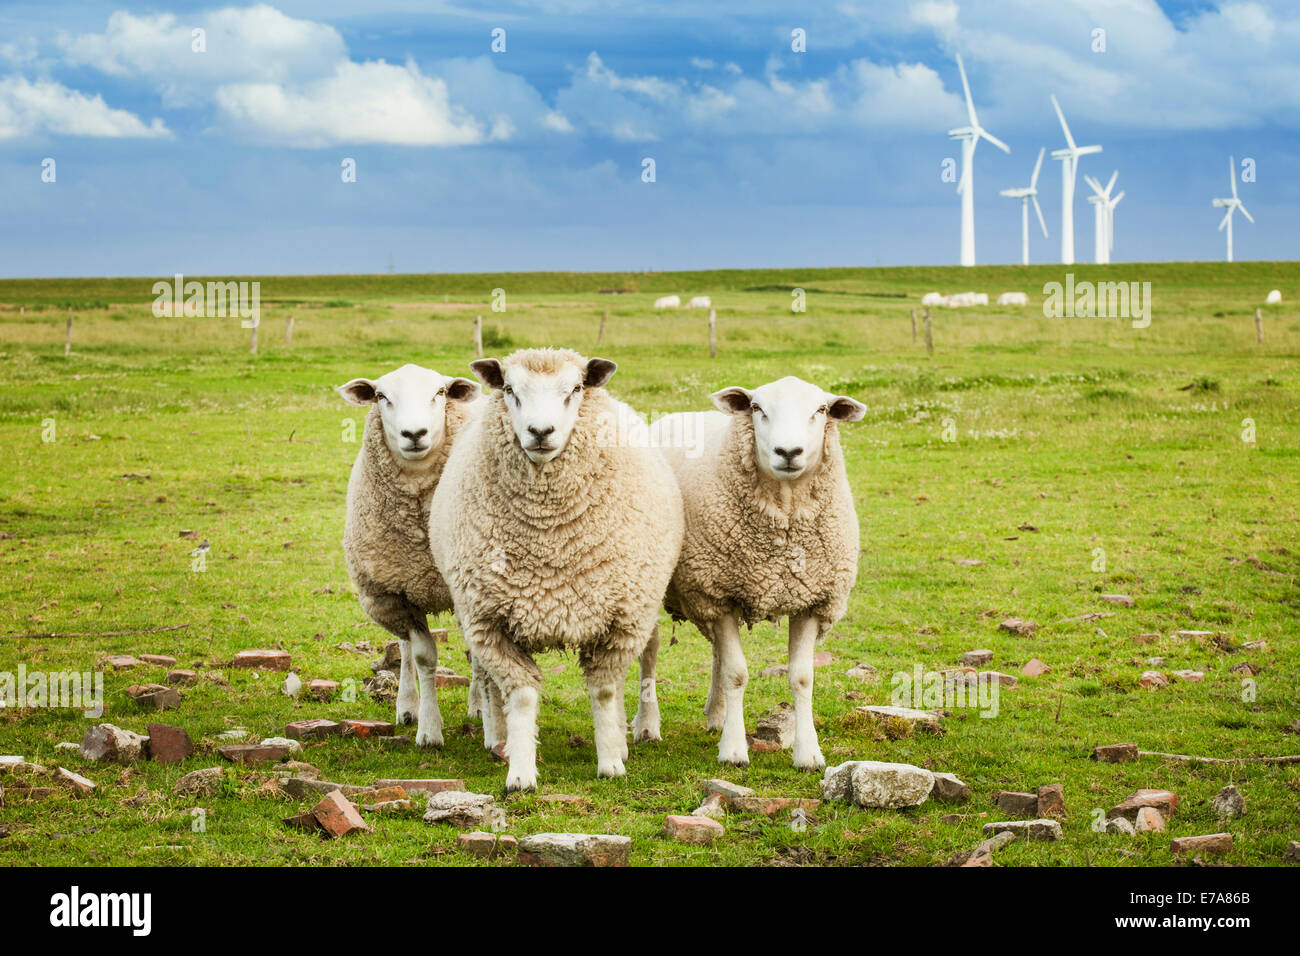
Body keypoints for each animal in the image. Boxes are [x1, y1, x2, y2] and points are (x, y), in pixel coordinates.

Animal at [431, 348, 686, 790]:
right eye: (510, 389)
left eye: (576, 388)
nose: (540, 431)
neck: (551, 539)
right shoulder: (489, 623)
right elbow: (520, 695)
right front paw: (520, 771)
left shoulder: (623, 619)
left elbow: (605, 691)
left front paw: (611, 762)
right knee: (490, 685)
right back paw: (497, 739)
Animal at [647, 374, 863, 770]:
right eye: (757, 408)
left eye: (821, 410)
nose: (789, 452)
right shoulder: (717, 594)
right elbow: (737, 674)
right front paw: (734, 751)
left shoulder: (811, 599)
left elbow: (802, 678)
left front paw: (808, 753)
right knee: (650, 649)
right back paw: (647, 725)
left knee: (717, 651)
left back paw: (717, 716)